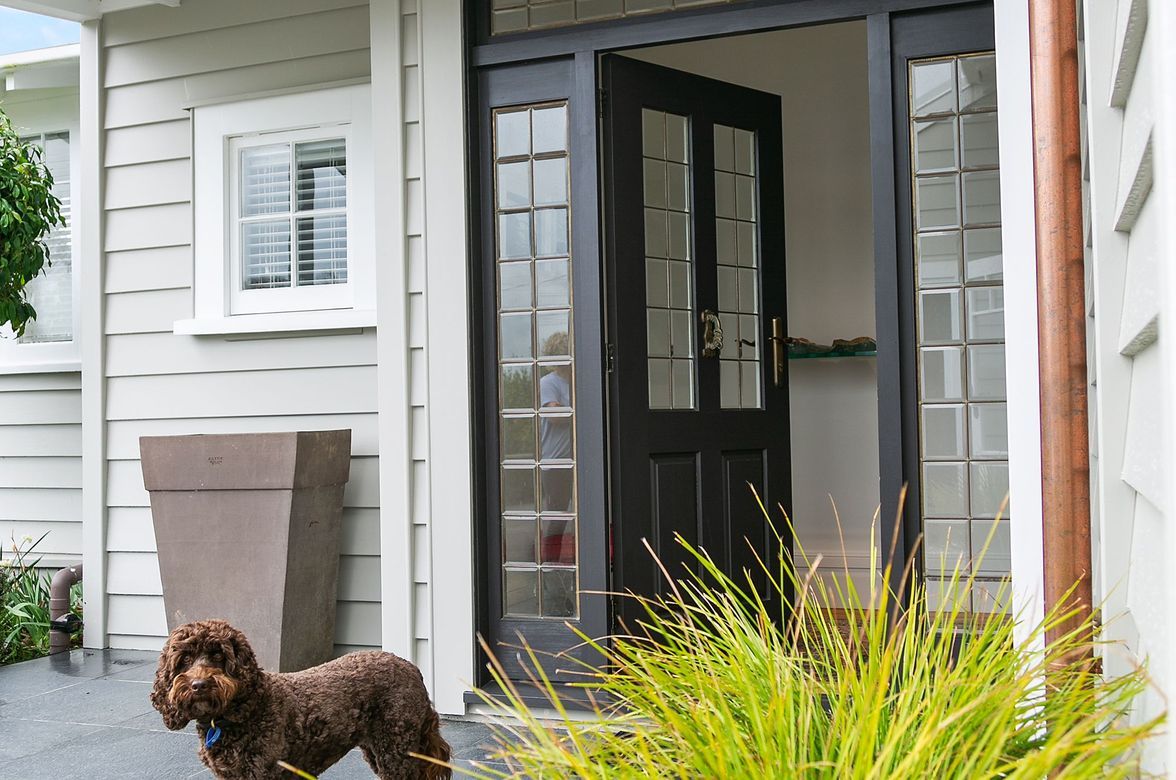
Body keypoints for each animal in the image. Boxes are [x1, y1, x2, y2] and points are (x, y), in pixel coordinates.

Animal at [149, 621, 451, 776]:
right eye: (184, 660)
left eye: (218, 656)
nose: (199, 685)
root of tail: (411, 666)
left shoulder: (262, 771)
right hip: (379, 747)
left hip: (397, 747)